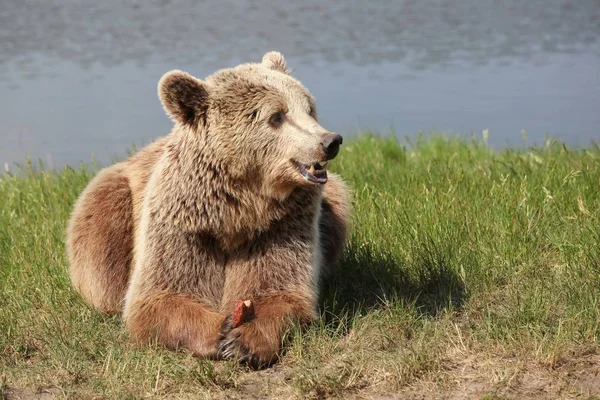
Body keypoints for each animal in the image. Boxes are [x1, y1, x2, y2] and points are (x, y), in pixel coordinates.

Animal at [67, 51, 352, 368]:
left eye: (309, 108)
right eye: (277, 116)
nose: (330, 141)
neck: (239, 208)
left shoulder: (280, 224)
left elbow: (281, 288)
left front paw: (246, 339)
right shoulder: (184, 224)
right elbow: (160, 295)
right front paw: (220, 331)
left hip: (332, 202)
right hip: (108, 204)